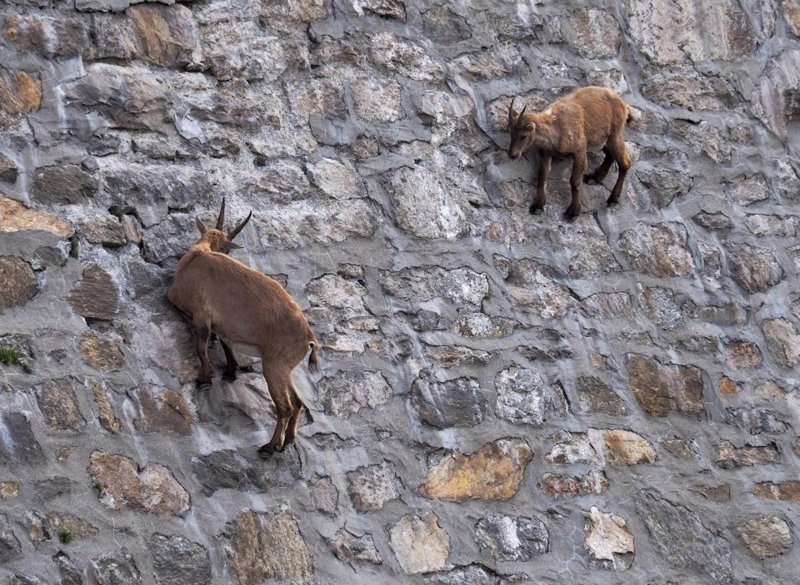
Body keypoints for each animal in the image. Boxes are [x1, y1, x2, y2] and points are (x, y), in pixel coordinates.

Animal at [169, 202, 318, 456]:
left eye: (227, 251)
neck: (198, 254)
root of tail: (309, 337)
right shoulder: (221, 324)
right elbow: (224, 342)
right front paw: (230, 371)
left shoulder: (201, 315)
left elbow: (201, 346)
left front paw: (205, 378)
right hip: (284, 368)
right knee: (298, 402)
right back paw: (287, 440)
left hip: (274, 366)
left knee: (285, 407)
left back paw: (269, 446)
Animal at [510, 83, 636, 218]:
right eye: (511, 133)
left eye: (523, 136)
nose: (512, 154)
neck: (556, 128)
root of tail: (624, 106)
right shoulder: (545, 153)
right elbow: (542, 175)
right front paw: (538, 205)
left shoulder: (579, 151)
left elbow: (574, 181)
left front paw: (573, 211)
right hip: (602, 139)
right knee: (611, 155)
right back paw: (594, 178)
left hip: (615, 135)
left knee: (625, 162)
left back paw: (612, 199)